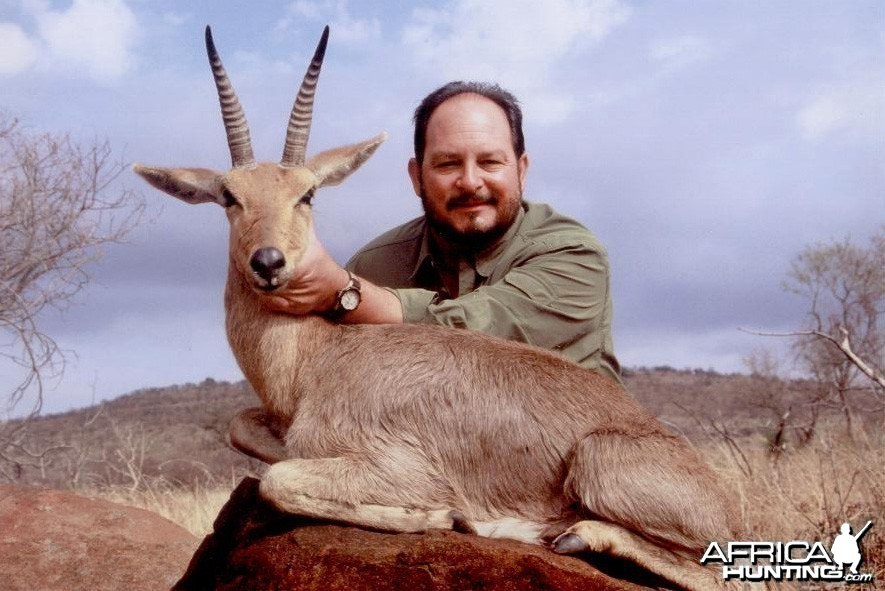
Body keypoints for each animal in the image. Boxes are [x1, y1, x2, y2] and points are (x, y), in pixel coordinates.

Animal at [136, 26, 744, 591]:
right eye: (229, 196)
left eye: (307, 193)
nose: (268, 262)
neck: (317, 359)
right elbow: (248, 436)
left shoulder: (392, 466)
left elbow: (278, 479)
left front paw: (434, 516)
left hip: (601, 468)